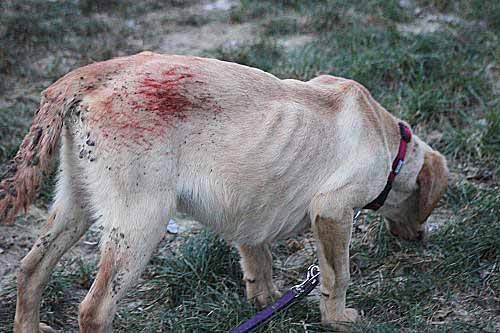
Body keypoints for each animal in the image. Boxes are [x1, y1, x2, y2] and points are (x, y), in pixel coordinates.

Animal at [0, 51, 448, 330]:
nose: (422, 238)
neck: (389, 142)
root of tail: (88, 76)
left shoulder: (253, 203)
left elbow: (257, 258)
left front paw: (265, 302)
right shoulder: (333, 211)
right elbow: (338, 277)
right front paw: (338, 320)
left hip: (74, 202)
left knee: (30, 270)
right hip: (140, 222)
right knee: (94, 310)